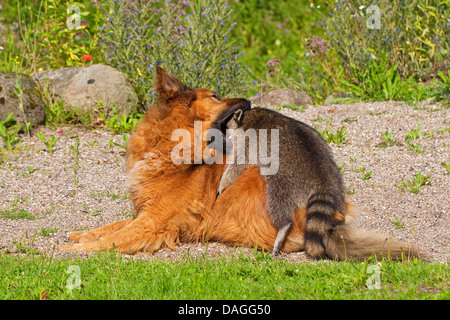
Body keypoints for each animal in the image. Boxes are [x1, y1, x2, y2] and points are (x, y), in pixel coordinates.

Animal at [216, 107, 346, 258]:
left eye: (224, 128)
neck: (248, 118)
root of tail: (321, 179)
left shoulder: (249, 145)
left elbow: (237, 167)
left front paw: (222, 184)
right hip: (337, 182)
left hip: (285, 180)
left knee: (277, 200)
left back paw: (284, 226)